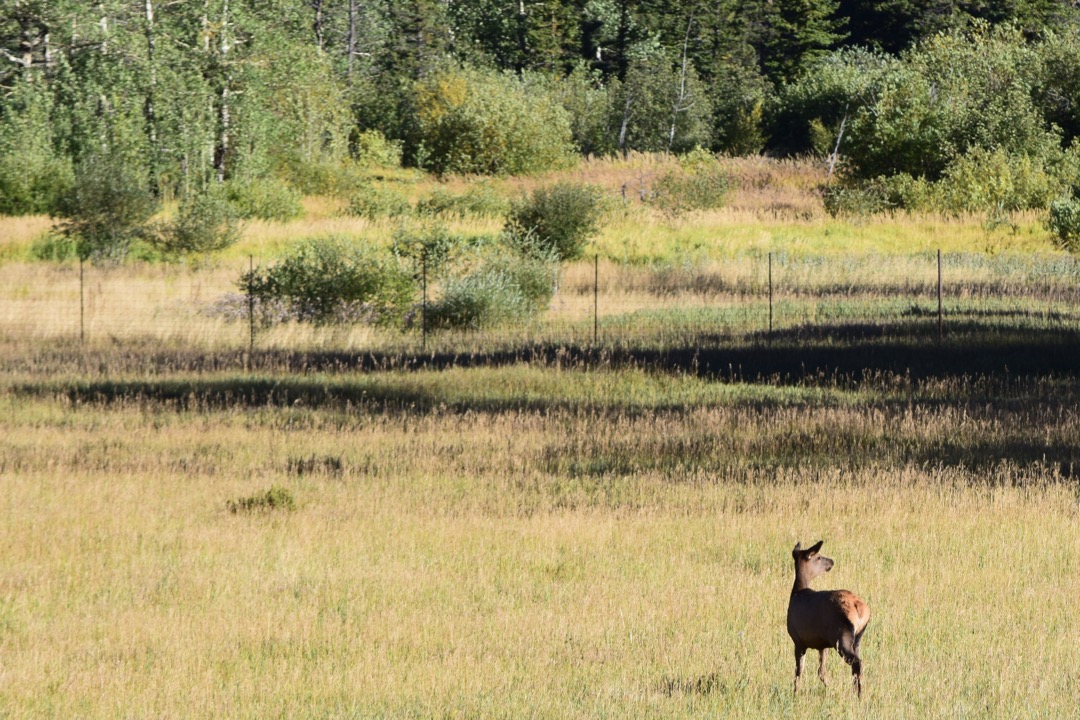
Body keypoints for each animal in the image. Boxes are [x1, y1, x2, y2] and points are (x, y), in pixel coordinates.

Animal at [790, 539, 872, 699]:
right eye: (819, 557)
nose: (831, 561)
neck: (796, 593)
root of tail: (860, 608)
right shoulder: (822, 644)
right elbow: (821, 671)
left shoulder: (798, 640)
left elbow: (799, 671)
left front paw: (795, 693)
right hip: (858, 637)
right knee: (858, 663)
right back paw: (857, 692)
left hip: (841, 636)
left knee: (856, 662)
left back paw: (858, 696)